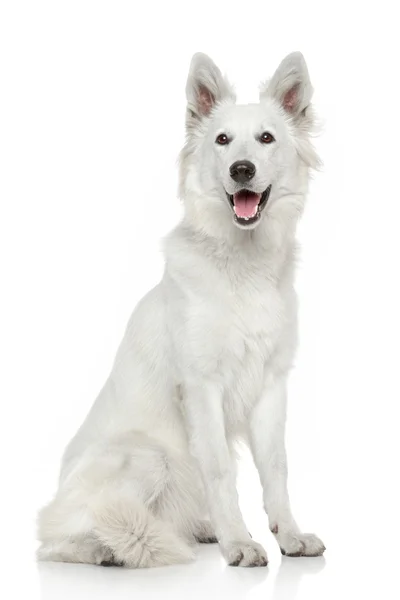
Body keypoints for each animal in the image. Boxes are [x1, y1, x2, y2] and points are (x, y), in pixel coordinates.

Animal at [37, 50, 324, 568]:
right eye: (222, 140)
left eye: (266, 138)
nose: (242, 170)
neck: (241, 266)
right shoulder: (202, 386)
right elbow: (220, 472)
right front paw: (240, 543)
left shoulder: (271, 386)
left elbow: (276, 468)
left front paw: (288, 535)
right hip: (152, 457)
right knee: (56, 539)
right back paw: (106, 549)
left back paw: (198, 531)